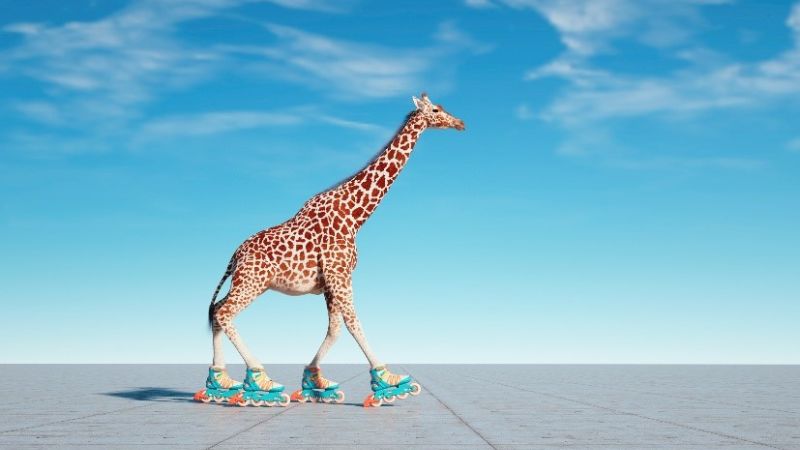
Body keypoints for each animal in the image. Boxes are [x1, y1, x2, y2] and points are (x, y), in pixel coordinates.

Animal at [193, 93, 465, 407]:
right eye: (436, 110)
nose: (461, 123)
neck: (356, 214)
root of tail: (234, 255)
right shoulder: (340, 274)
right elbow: (353, 323)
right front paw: (388, 382)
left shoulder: (330, 281)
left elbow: (334, 329)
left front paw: (315, 384)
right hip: (252, 281)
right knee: (225, 313)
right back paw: (260, 383)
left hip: (249, 282)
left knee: (217, 311)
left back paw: (220, 384)